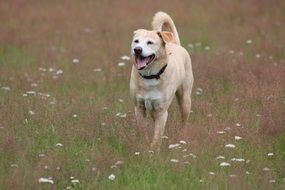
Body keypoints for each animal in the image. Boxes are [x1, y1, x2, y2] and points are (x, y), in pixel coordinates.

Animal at [129, 11, 193, 151]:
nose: (137, 49)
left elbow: (157, 135)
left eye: (150, 42)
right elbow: (144, 130)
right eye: (136, 41)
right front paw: (144, 145)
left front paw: (154, 150)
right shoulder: (139, 108)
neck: (150, 76)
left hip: (185, 99)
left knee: (184, 120)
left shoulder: (161, 111)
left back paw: (183, 134)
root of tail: (175, 43)